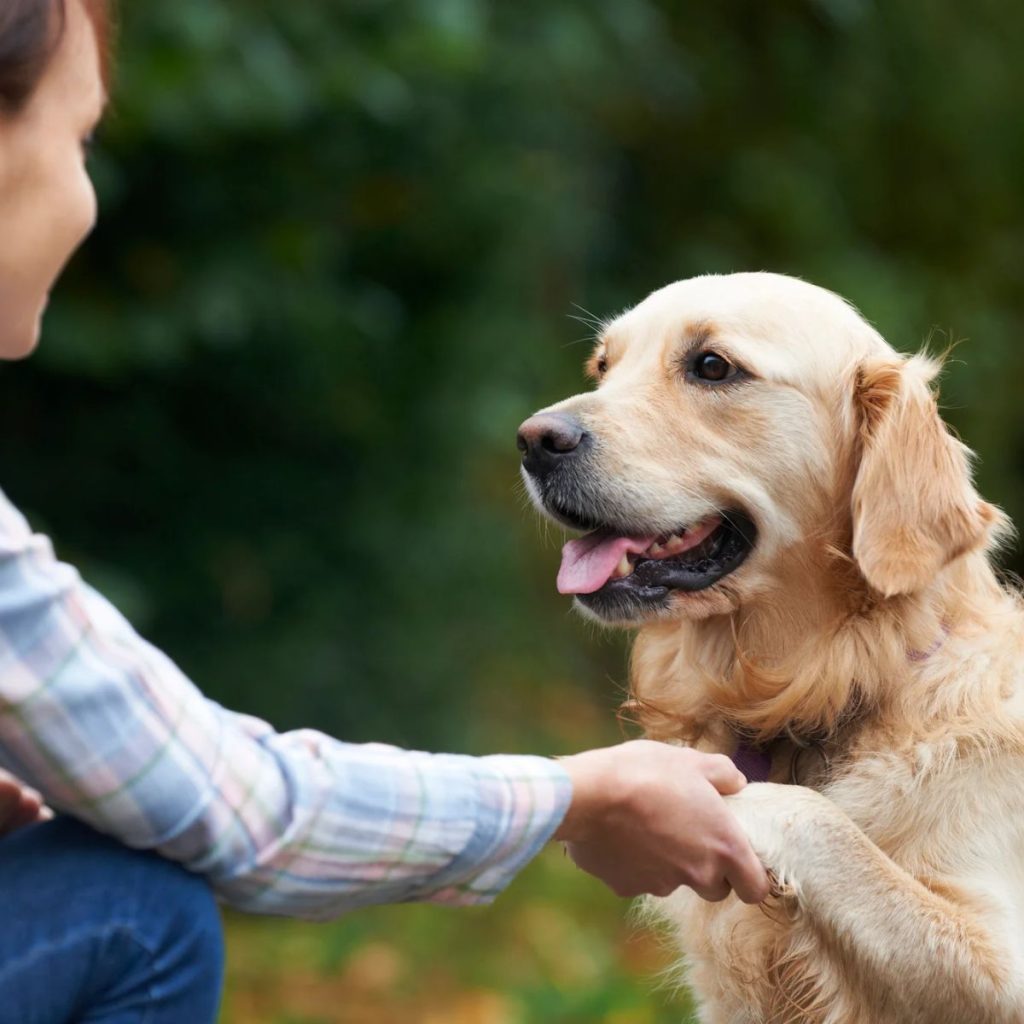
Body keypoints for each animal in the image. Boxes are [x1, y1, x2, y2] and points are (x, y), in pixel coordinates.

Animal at [516, 274, 1024, 1024]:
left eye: (712, 366)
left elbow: (814, 818)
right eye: (603, 367)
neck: (832, 690)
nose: (533, 441)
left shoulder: (999, 959)